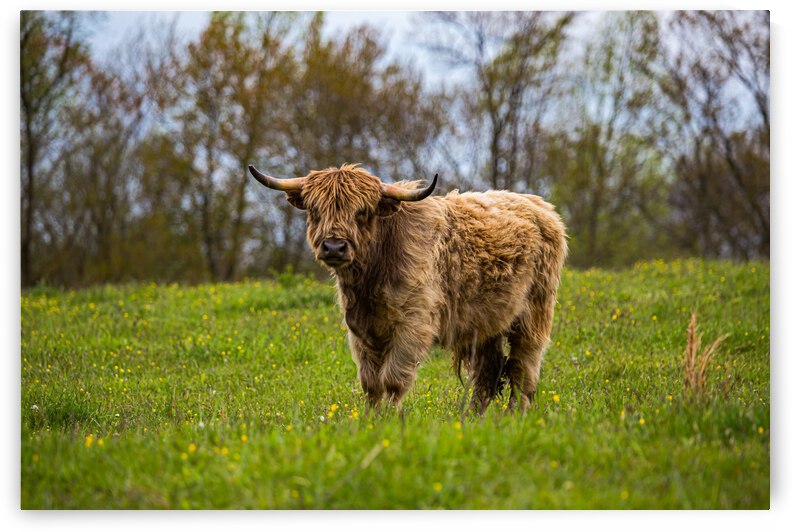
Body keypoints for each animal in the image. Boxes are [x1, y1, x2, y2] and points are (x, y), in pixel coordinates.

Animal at [249, 163, 567, 413]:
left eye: (362, 212)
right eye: (315, 210)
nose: (334, 247)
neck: (370, 281)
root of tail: (541, 207)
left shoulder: (413, 325)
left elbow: (392, 378)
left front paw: (391, 418)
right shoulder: (362, 331)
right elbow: (371, 383)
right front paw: (371, 419)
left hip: (534, 314)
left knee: (524, 368)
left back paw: (515, 416)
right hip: (488, 322)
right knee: (488, 373)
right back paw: (472, 419)